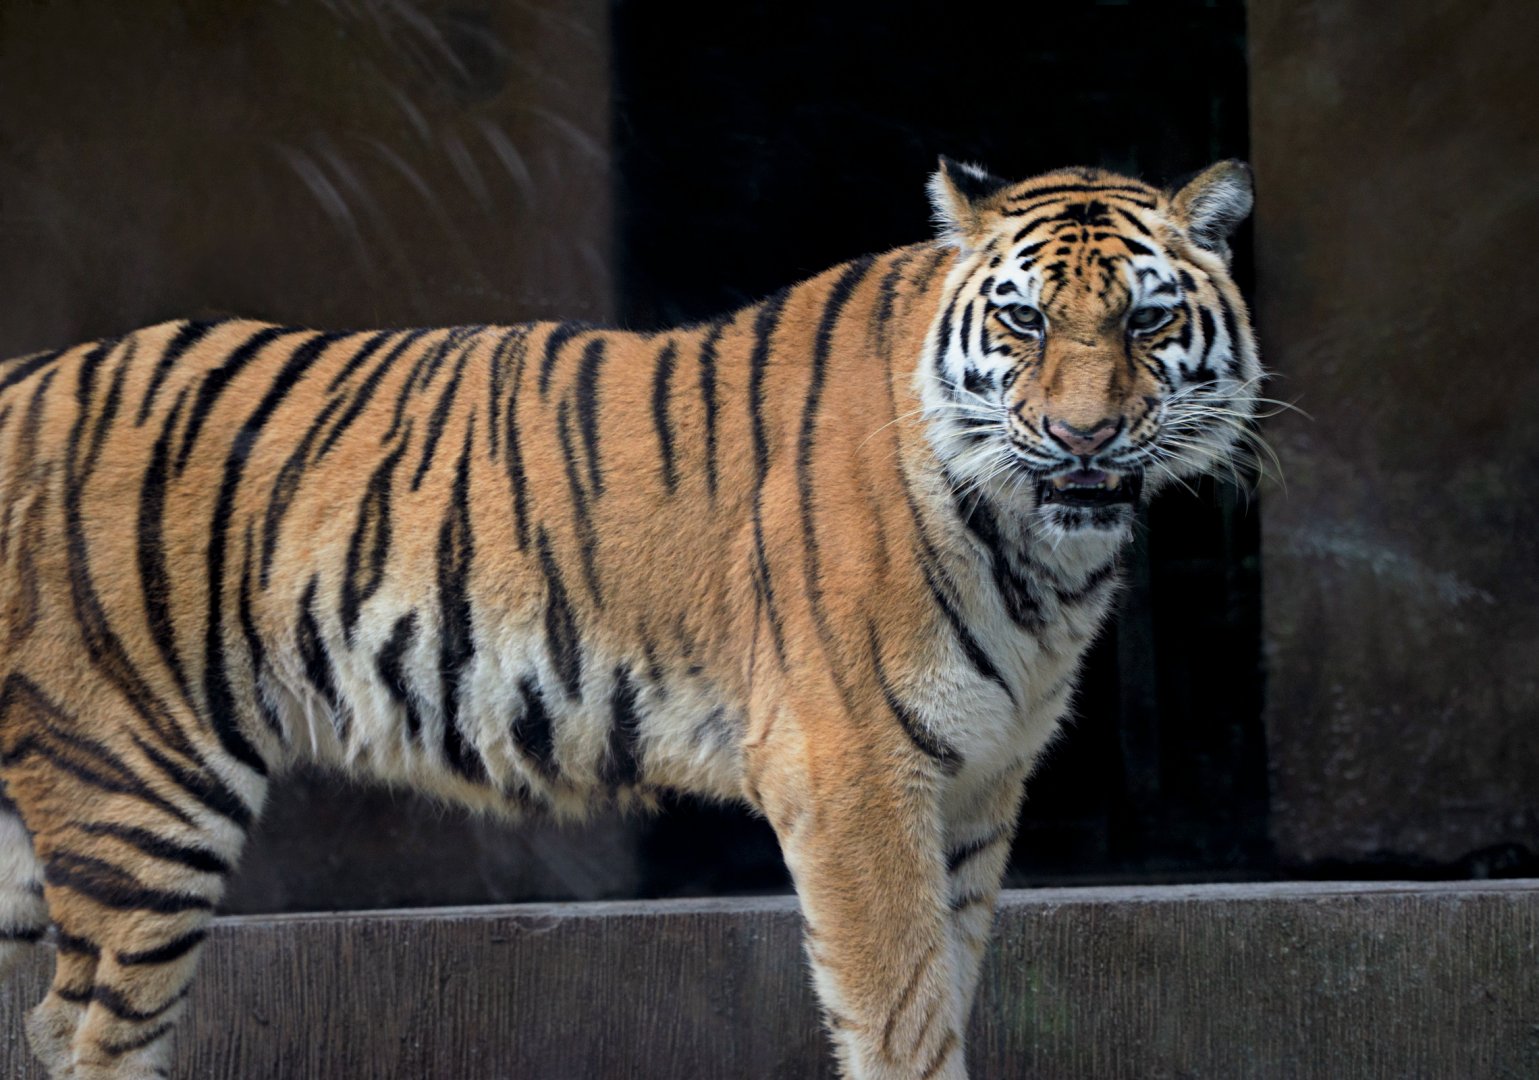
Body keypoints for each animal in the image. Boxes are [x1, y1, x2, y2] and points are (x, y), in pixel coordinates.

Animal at [0, 157, 1259, 1079]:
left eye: (1147, 323)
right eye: (1023, 322)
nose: (1086, 437)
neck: (1048, 555)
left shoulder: (979, 784)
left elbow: (947, 985)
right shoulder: (850, 770)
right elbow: (900, 1018)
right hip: (142, 792)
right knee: (92, 1032)